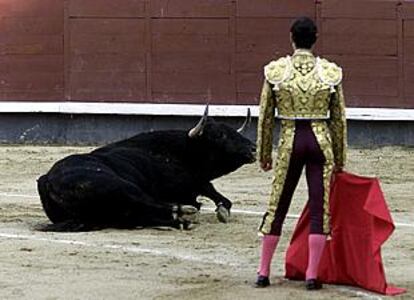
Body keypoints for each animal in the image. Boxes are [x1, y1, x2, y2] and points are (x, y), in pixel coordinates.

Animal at [37, 108, 256, 232]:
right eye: (220, 135)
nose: (254, 148)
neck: (181, 150)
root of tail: (48, 181)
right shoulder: (187, 184)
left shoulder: (198, 183)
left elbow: (219, 196)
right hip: (122, 187)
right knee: (149, 205)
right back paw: (183, 214)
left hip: (113, 212)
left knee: (136, 216)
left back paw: (180, 220)